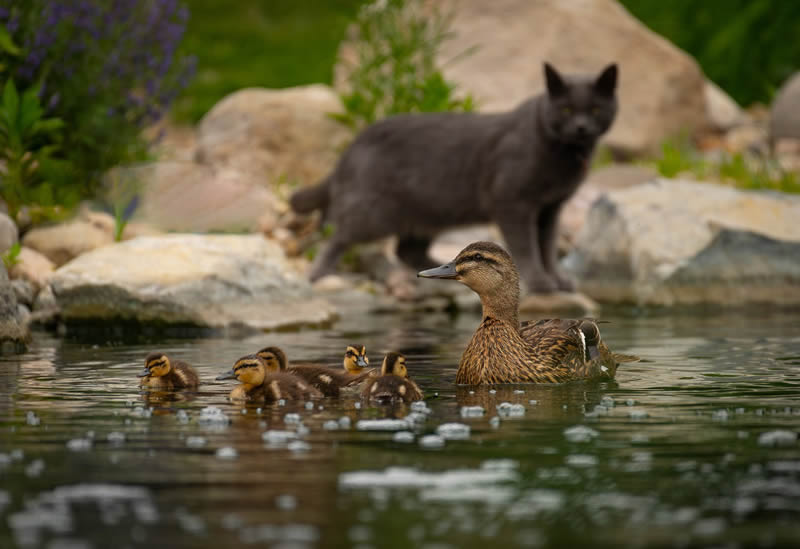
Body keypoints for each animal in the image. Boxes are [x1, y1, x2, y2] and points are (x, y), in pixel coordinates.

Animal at [292, 62, 620, 294]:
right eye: (565, 109)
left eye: (595, 109)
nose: (581, 127)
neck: (565, 155)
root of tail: (351, 147)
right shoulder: (513, 202)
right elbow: (527, 245)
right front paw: (540, 282)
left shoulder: (551, 208)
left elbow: (548, 246)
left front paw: (558, 279)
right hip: (374, 212)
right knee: (337, 235)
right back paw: (319, 273)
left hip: (427, 211)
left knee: (406, 249)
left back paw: (438, 267)